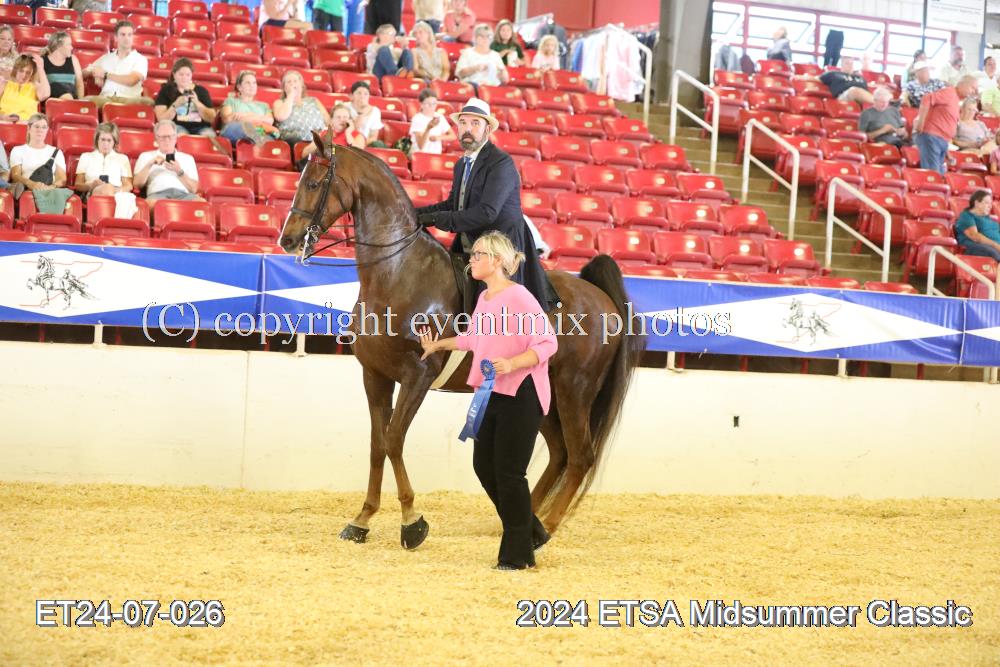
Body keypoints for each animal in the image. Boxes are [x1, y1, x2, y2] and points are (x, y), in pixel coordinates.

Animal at [279, 135, 642, 550]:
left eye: (312, 183)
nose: (287, 239)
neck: (398, 272)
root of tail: (603, 300)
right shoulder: (375, 376)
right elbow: (376, 444)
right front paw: (362, 519)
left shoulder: (417, 375)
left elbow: (393, 440)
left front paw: (412, 522)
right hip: (542, 396)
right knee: (561, 453)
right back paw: (525, 518)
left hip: (574, 391)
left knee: (581, 456)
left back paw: (545, 527)